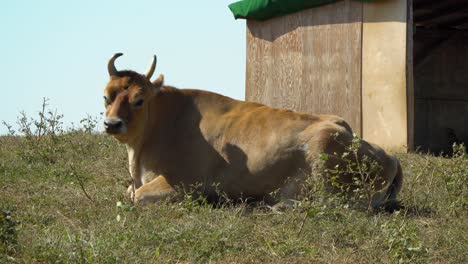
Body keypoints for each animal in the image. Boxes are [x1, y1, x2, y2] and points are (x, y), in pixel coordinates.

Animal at [103, 53, 402, 209]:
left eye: (139, 100)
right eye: (106, 96)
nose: (112, 124)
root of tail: (390, 157)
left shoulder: (185, 185)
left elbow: (134, 196)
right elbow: (129, 191)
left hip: (325, 151)